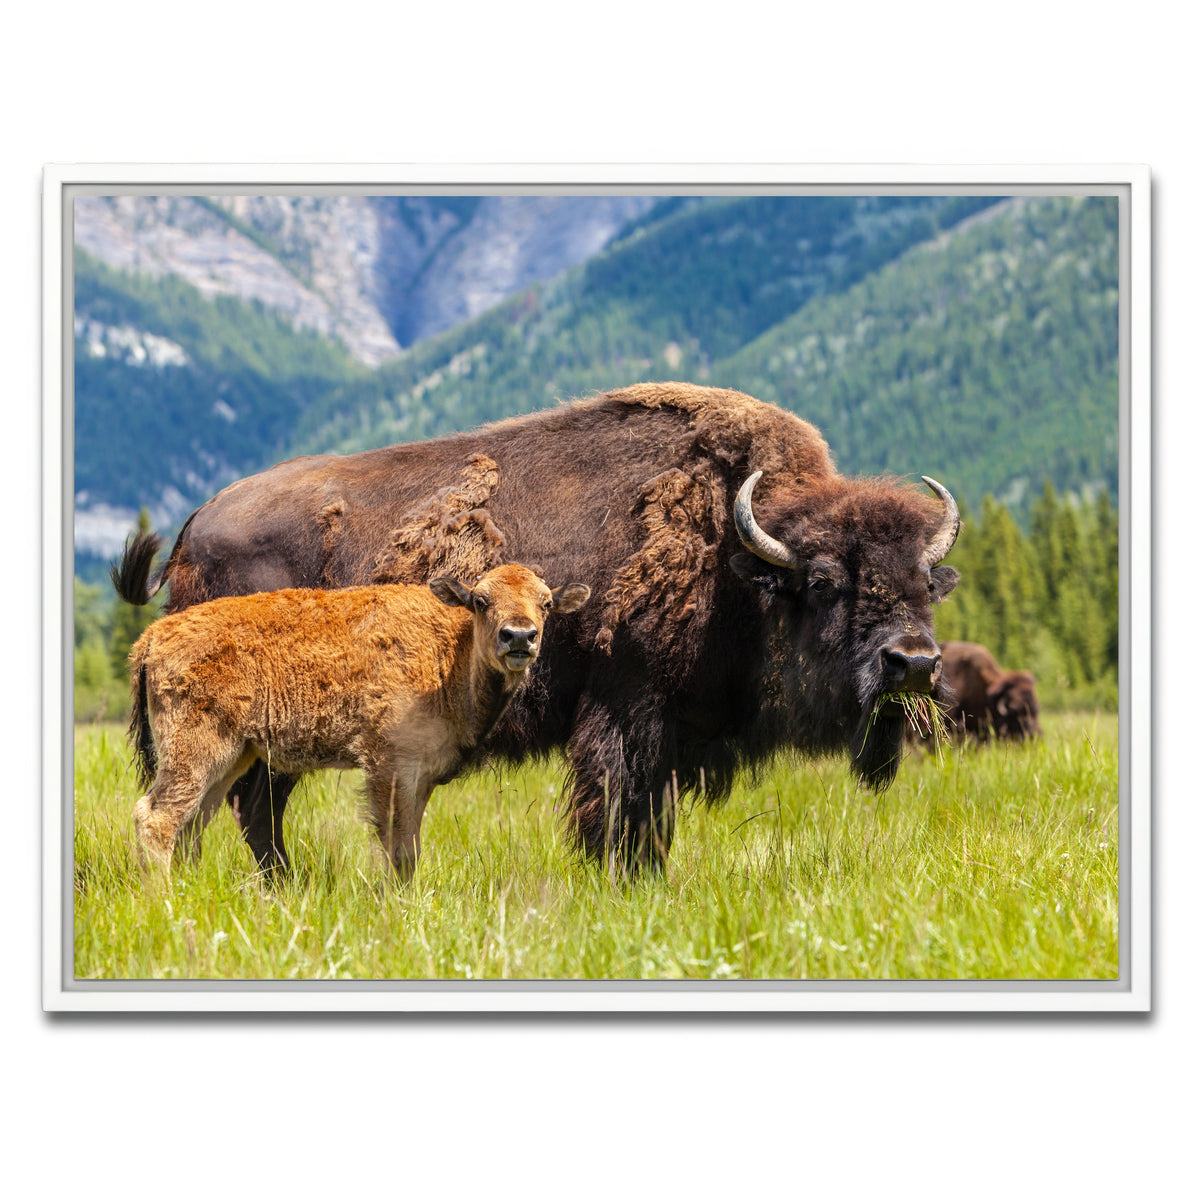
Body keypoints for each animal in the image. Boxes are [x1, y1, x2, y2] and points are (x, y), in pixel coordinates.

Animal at [128, 564, 590, 880]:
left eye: (546, 603)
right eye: (480, 601)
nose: (519, 636)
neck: (450, 652)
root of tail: (153, 635)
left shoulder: (421, 776)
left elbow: (411, 843)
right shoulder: (390, 767)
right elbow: (397, 847)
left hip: (231, 757)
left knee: (193, 823)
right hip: (194, 752)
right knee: (157, 818)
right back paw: (164, 898)